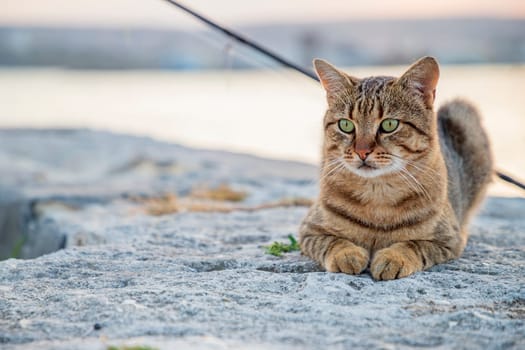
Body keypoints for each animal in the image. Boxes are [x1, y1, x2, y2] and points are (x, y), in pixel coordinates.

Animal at [298, 57, 492, 282]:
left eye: (389, 124)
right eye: (345, 125)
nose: (362, 151)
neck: (378, 194)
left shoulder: (449, 239)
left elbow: (414, 245)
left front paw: (393, 258)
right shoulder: (309, 230)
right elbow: (332, 241)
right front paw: (346, 254)